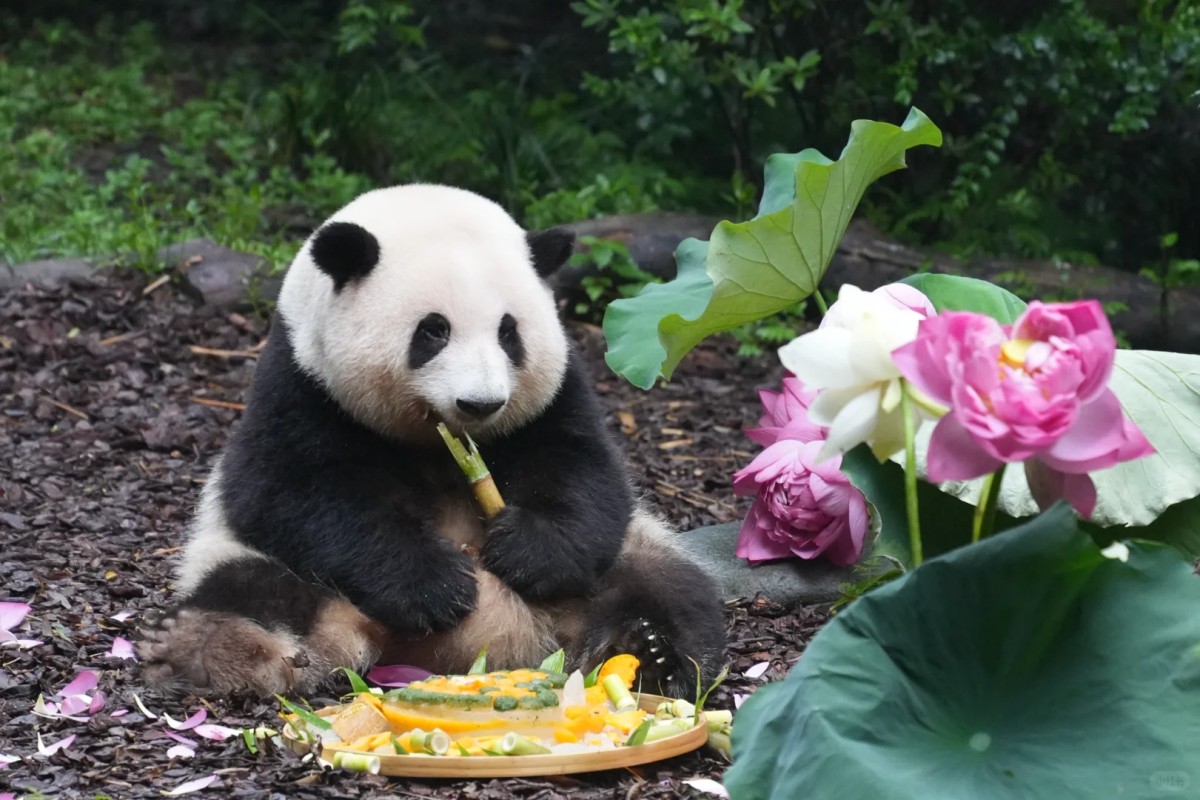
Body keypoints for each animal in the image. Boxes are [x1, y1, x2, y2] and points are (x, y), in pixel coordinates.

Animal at [140, 184, 727, 699]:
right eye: (433, 330)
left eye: (509, 332)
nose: (481, 403)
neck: (436, 438)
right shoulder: (300, 381)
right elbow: (286, 490)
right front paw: (437, 587)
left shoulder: (557, 393)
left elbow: (586, 472)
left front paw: (527, 554)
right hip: (259, 563)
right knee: (250, 589)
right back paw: (234, 652)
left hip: (625, 557)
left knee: (666, 586)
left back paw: (650, 654)